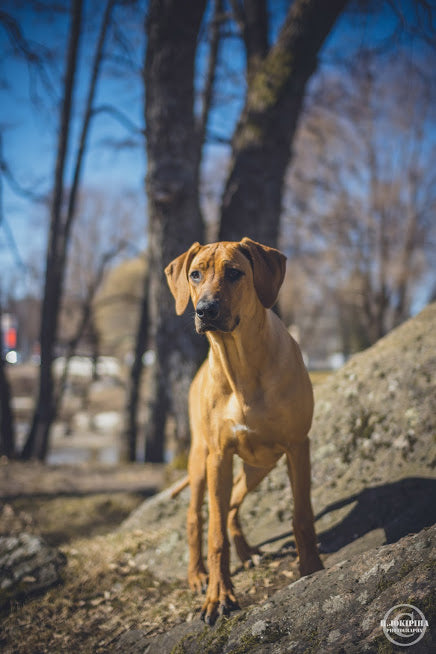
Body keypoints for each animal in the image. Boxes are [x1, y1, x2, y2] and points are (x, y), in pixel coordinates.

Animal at [165, 240, 322, 624]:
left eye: (235, 272)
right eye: (195, 274)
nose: (205, 310)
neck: (241, 365)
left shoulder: (297, 446)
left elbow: (302, 516)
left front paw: (311, 568)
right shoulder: (219, 456)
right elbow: (215, 535)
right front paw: (218, 595)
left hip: (261, 464)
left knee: (234, 502)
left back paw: (247, 552)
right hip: (200, 459)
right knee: (197, 517)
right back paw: (197, 574)